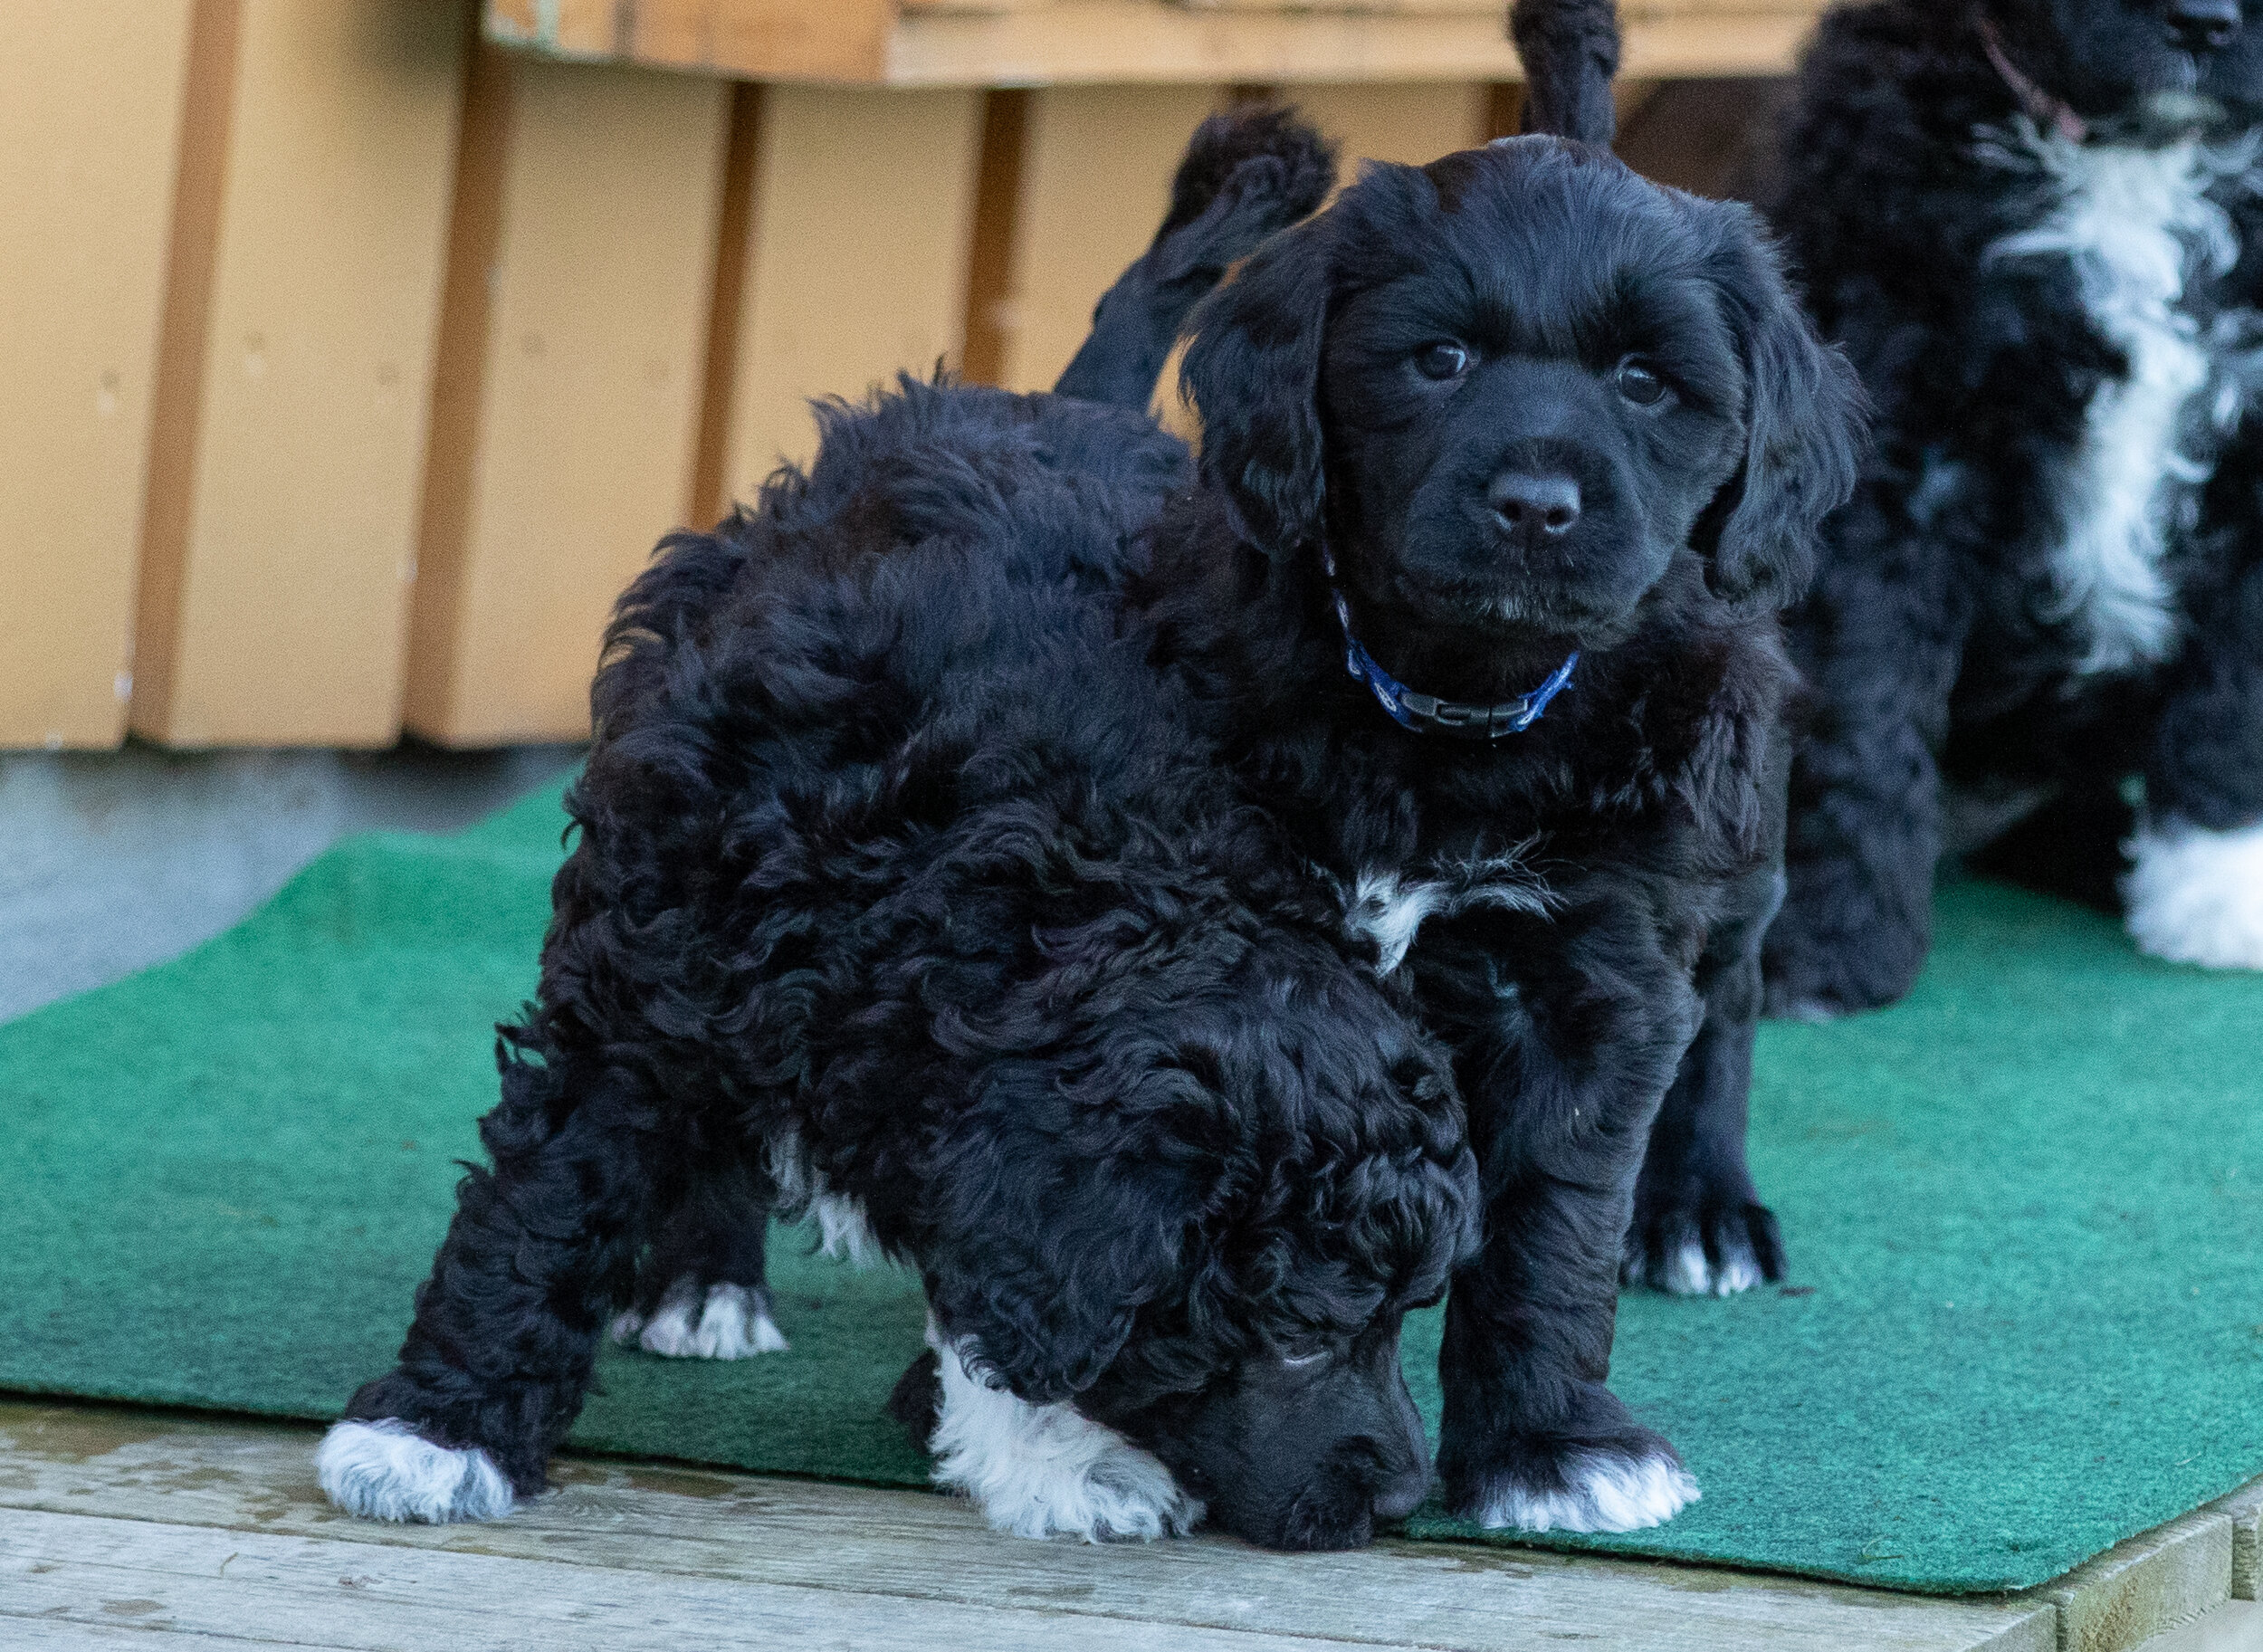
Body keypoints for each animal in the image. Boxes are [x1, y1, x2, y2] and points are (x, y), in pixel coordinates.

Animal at [1765, 0, 2263, 1018]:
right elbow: (1860, 707)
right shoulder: (1896, 459)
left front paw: (2218, 890)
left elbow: (2236, 706)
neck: (2133, 158)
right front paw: (1830, 943)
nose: (2204, 22)